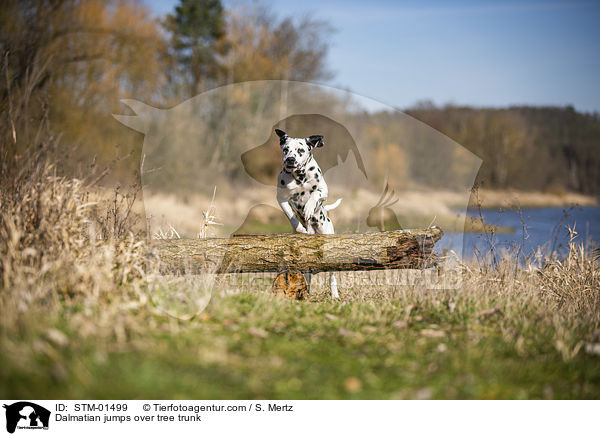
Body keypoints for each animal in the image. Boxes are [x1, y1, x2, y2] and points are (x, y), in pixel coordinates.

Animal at [274, 129, 340, 298]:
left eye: (300, 150)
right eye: (286, 149)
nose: (290, 159)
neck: (300, 177)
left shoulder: (323, 190)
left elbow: (315, 194)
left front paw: (309, 207)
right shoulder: (281, 198)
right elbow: (290, 214)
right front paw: (300, 228)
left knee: (332, 276)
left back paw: (335, 294)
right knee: (306, 277)